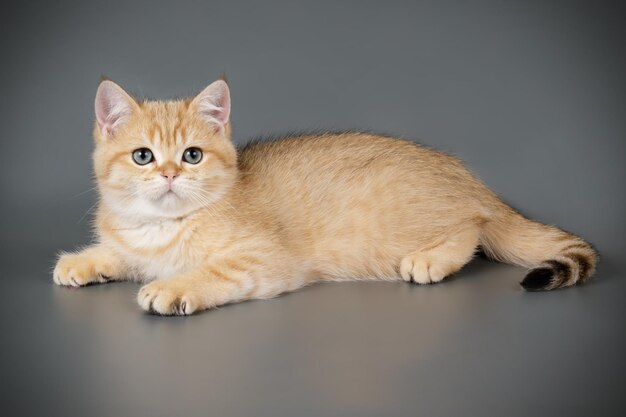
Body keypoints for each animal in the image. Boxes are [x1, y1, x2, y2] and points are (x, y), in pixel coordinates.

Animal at [52, 78, 596, 314]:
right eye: (143, 156)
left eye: (192, 155)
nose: (168, 174)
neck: (162, 228)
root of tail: (474, 183)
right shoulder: (134, 244)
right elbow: (121, 253)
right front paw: (84, 261)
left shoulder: (264, 259)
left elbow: (211, 272)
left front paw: (172, 288)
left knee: (473, 229)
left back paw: (431, 259)